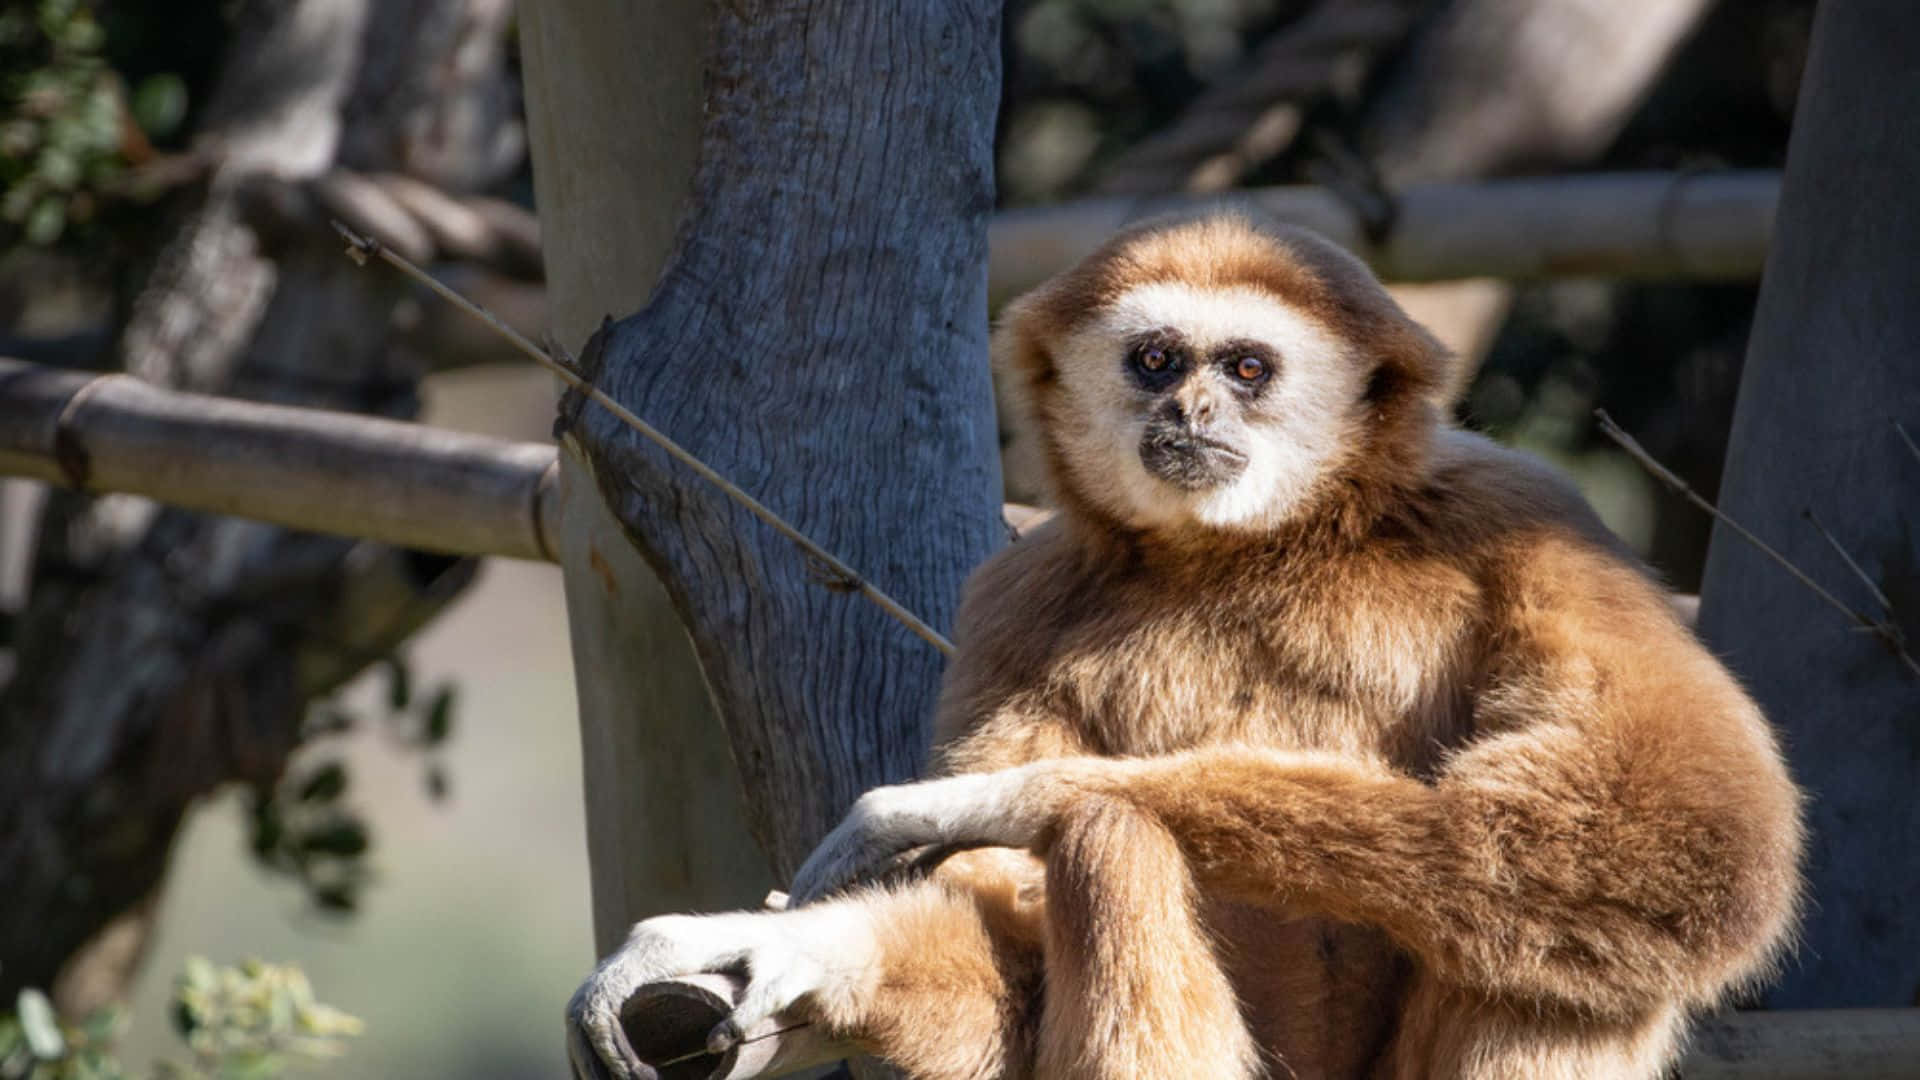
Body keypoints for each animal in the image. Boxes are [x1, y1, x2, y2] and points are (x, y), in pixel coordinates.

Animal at [566, 214, 1804, 1080]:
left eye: (1247, 369)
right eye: (1157, 360)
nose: (1192, 410)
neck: (1257, 551)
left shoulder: (1525, 516)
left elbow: (1699, 827)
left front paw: (962, 805)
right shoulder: (1014, 598)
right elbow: (1008, 952)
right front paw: (793, 950)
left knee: (1562, 891)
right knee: (1115, 844)